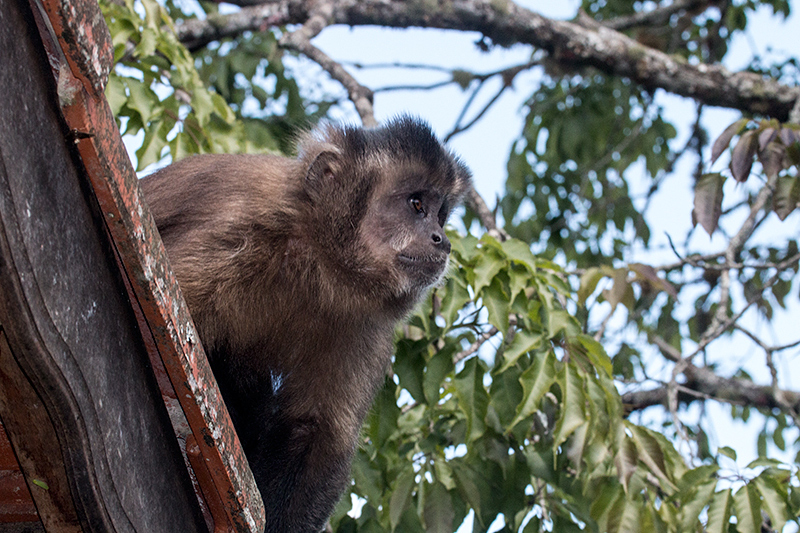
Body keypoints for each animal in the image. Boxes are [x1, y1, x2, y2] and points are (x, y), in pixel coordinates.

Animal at [141, 116, 472, 532]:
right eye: (417, 205)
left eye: (440, 214)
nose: (442, 239)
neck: (319, 261)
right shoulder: (237, 233)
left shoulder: (367, 326)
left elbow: (317, 432)